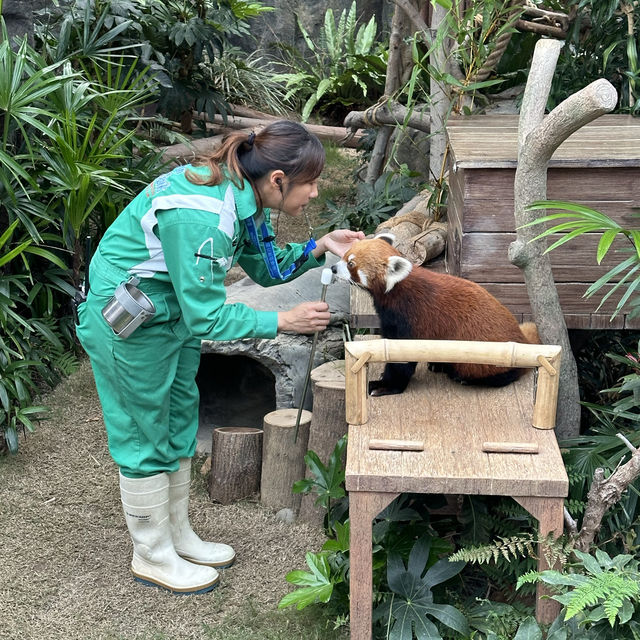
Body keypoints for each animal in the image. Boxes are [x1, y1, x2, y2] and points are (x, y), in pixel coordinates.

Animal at [330, 232, 540, 398]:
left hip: (489, 357)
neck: (395, 290)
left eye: (351, 264)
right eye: (345, 256)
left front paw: (384, 386)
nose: (333, 268)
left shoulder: (410, 318)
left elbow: (402, 360)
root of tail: (521, 337)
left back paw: (466, 377)